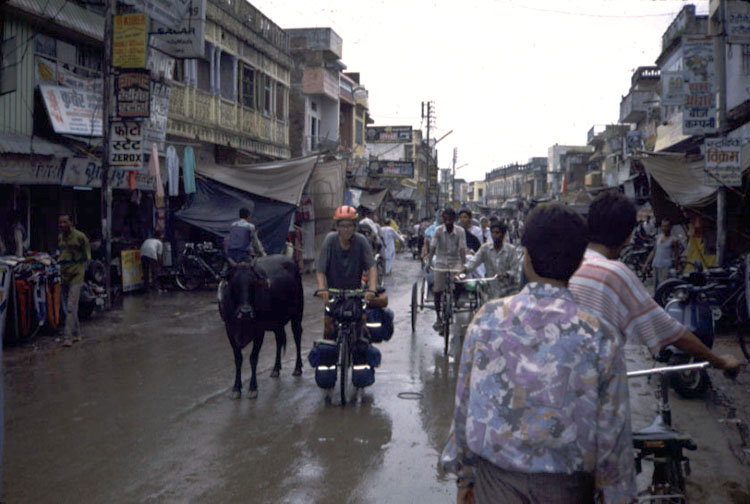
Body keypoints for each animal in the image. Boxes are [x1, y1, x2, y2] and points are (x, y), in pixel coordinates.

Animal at [220, 256, 306, 398]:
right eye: (235, 284)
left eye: (253, 284)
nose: (245, 312)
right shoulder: (229, 331)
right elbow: (238, 359)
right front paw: (236, 388)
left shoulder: (259, 331)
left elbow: (253, 358)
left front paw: (252, 387)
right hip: (277, 323)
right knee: (279, 339)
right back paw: (276, 369)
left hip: (297, 314)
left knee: (297, 336)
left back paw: (297, 368)